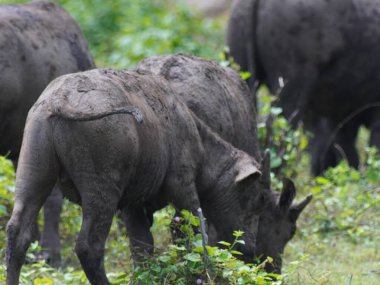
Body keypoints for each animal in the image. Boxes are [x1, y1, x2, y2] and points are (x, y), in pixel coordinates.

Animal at [6, 67, 274, 282]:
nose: (251, 250)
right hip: (101, 192)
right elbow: (197, 238)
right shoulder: (183, 188)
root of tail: (59, 98)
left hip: (33, 176)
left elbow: (142, 248)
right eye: (260, 198)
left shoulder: (133, 206)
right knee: (88, 247)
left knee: (18, 233)